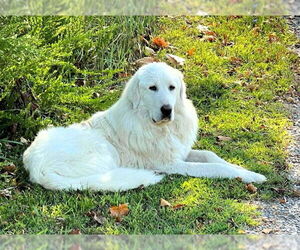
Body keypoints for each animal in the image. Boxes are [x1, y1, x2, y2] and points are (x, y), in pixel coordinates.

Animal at [24, 61, 268, 190]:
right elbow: (216, 167)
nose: (167, 109)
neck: (161, 128)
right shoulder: (171, 164)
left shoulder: (180, 152)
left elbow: (212, 156)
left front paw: (246, 171)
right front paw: (250, 176)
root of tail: (36, 168)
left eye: (171, 87)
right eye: (152, 88)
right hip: (104, 152)